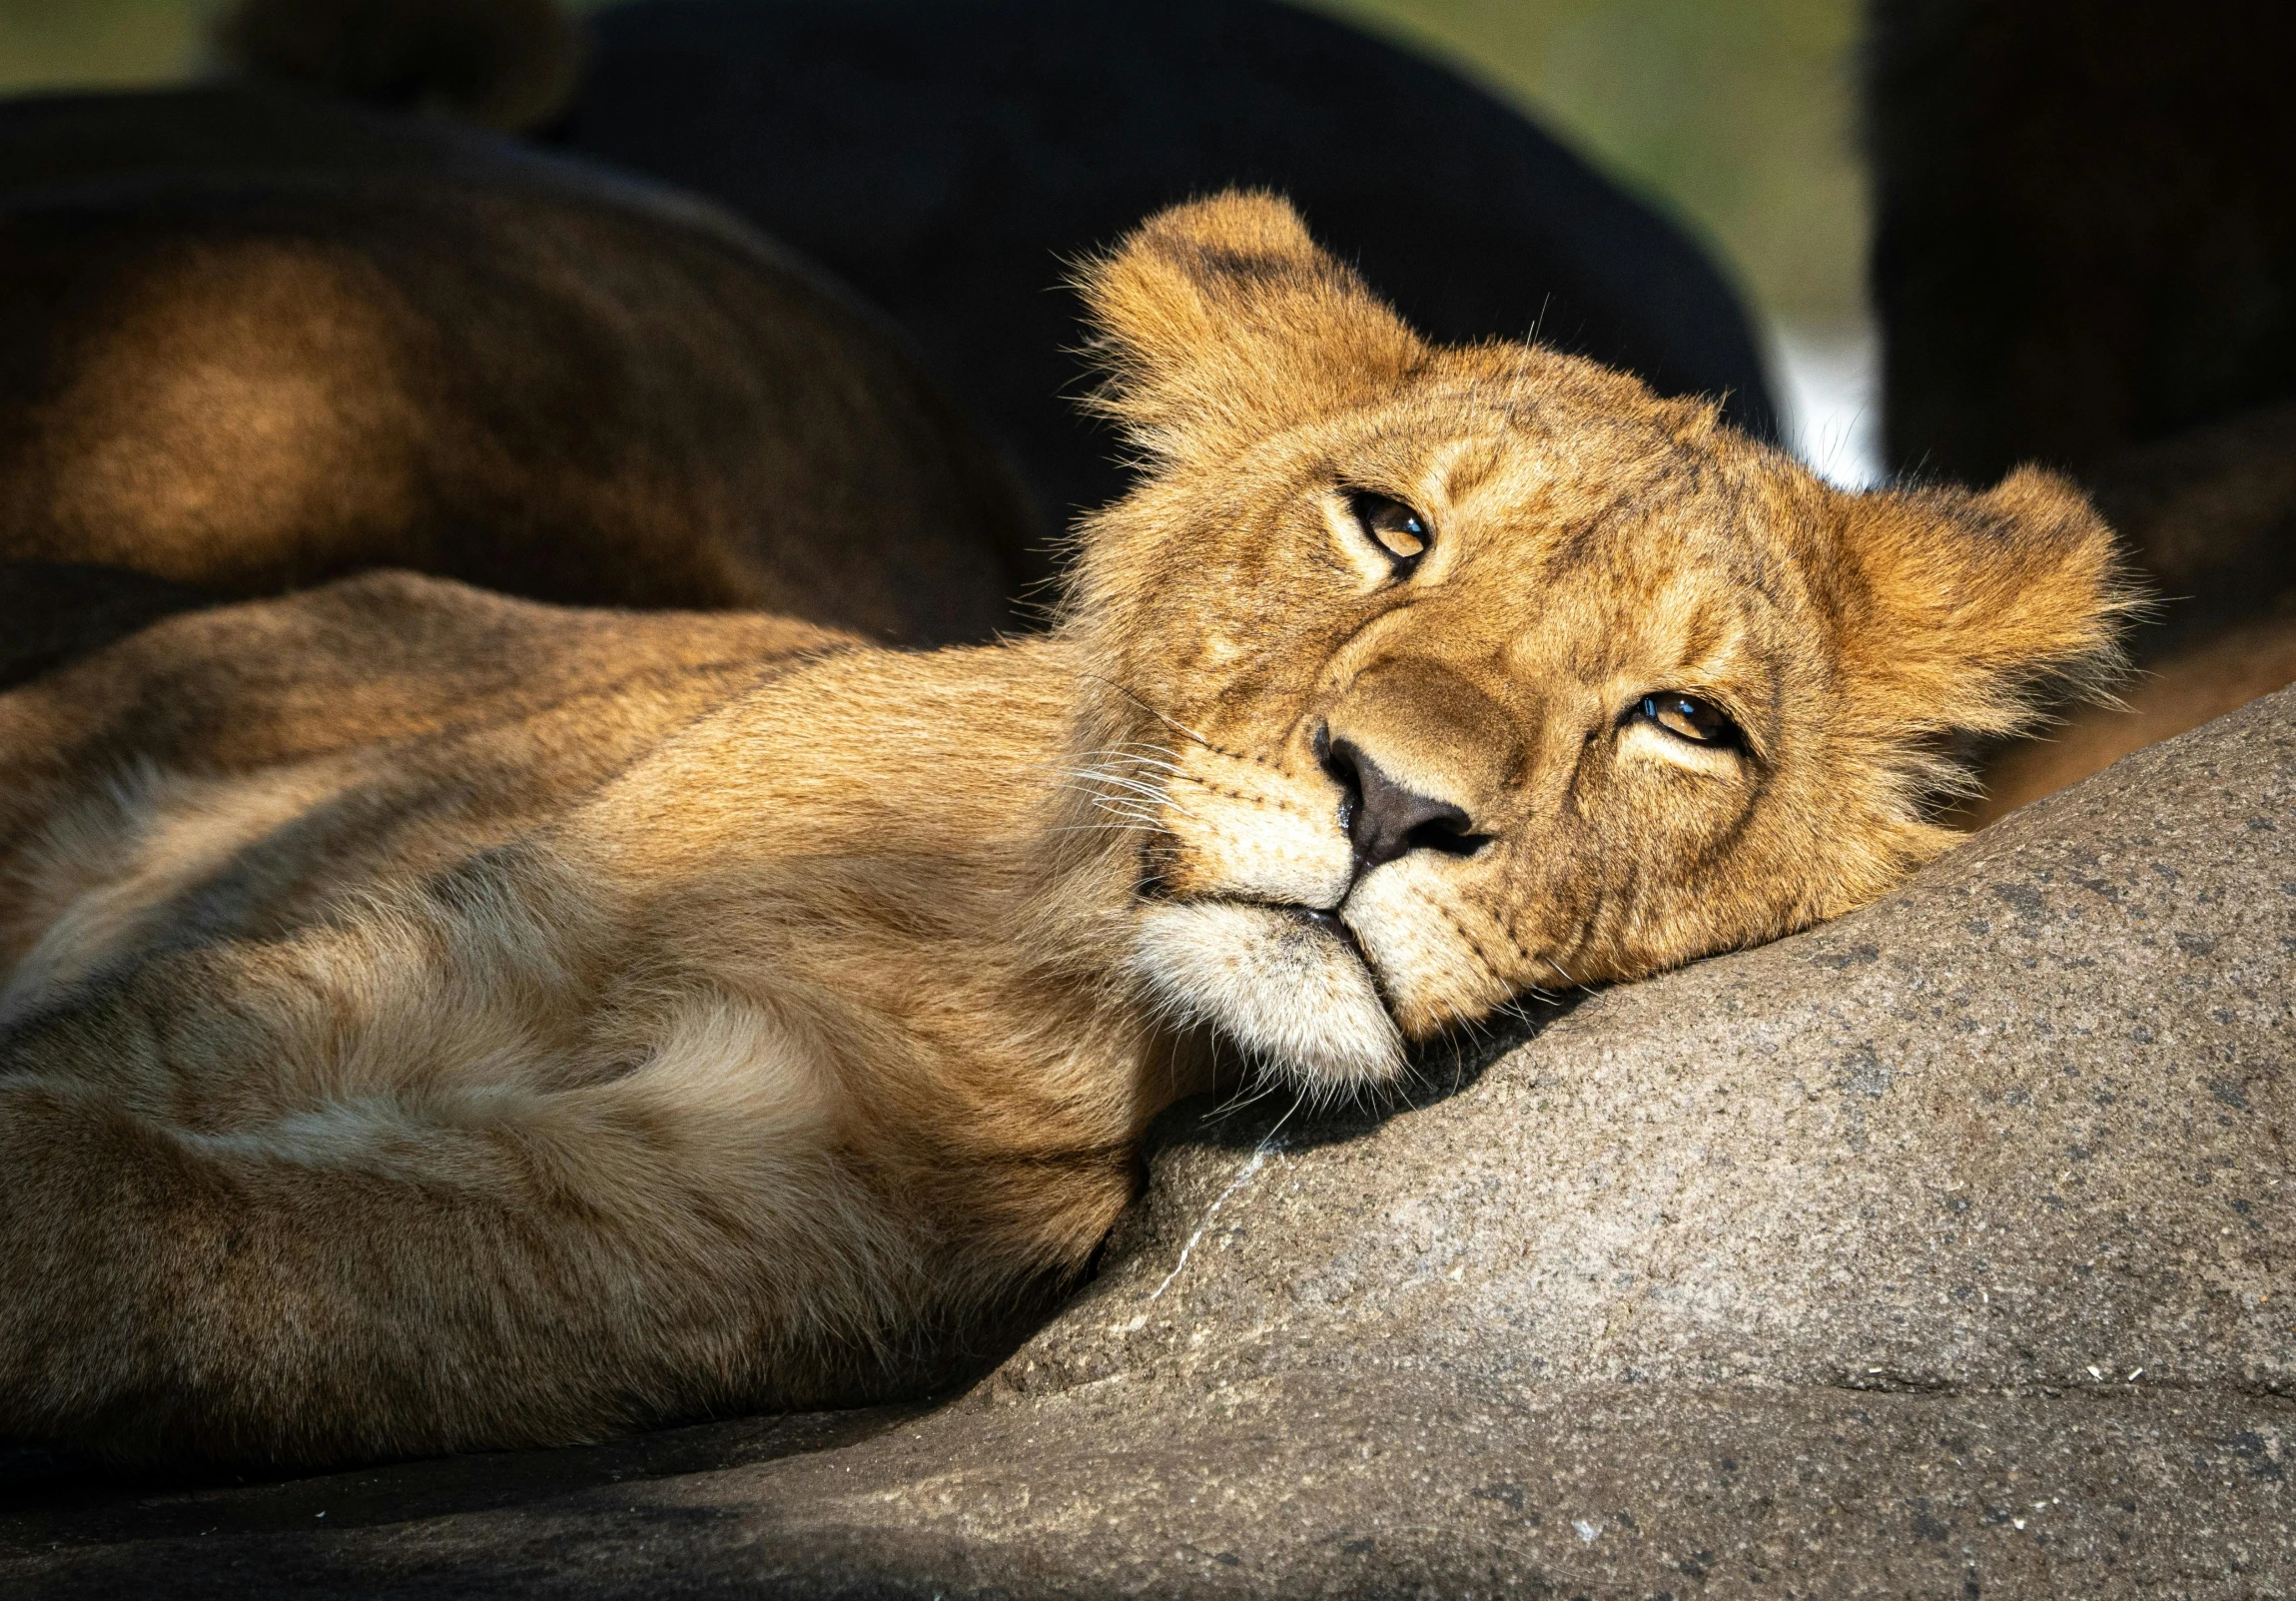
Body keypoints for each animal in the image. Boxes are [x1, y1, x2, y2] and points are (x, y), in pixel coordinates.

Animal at [0, 194, 2130, 1469]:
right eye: (1388, 524)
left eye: (1680, 720)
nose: (1394, 800)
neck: (1001, 949)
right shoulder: (418, 955)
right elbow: (123, 1091)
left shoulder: (702, 1225)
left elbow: (206, 1237)